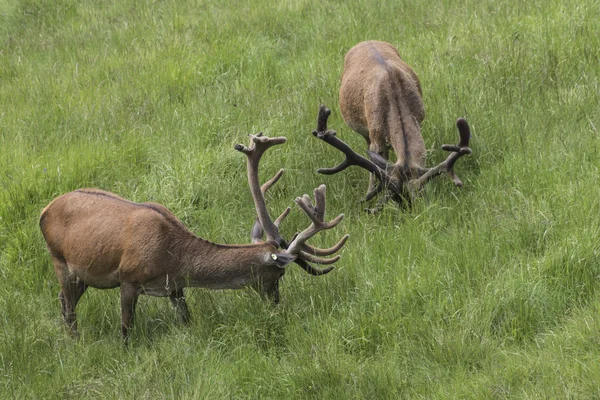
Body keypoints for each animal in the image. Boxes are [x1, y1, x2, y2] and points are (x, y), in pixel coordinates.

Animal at [38, 133, 346, 340]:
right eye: (279, 274)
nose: (276, 304)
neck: (173, 258)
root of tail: (43, 211)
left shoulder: (174, 287)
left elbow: (187, 319)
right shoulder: (128, 278)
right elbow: (126, 328)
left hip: (83, 273)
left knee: (64, 301)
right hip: (58, 259)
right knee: (69, 309)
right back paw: (75, 341)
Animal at [312, 40, 472, 212]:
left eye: (419, 195)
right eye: (395, 197)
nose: (409, 212)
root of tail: (366, 41)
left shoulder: (419, 119)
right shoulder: (376, 135)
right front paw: (370, 197)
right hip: (367, 131)